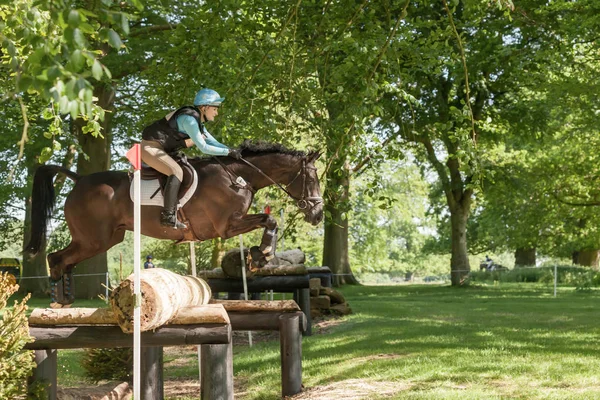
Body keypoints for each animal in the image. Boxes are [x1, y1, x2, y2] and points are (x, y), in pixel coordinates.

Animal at [24, 141, 324, 306]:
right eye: (312, 178)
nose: (318, 214)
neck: (238, 176)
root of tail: (79, 179)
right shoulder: (227, 226)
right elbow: (268, 218)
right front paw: (261, 254)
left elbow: (268, 220)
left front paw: (259, 255)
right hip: (93, 239)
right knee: (56, 258)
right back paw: (58, 302)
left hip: (105, 239)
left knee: (65, 261)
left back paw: (66, 300)